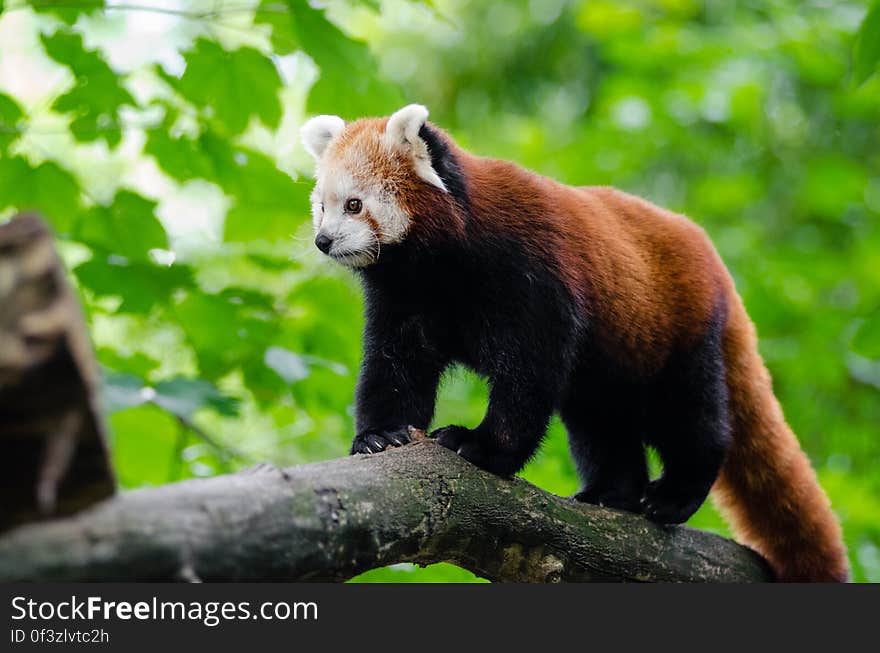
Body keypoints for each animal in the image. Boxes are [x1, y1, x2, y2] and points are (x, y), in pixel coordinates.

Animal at [300, 104, 848, 584]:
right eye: (322, 207)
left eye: (354, 204)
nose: (323, 241)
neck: (440, 262)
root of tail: (715, 266)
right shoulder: (405, 300)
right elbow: (395, 368)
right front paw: (381, 434)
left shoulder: (530, 278)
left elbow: (527, 378)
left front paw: (480, 446)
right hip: (611, 366)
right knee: (601, 422)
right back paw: (612, 492)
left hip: (678, 333)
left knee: (692, 415)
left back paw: (674, 493)